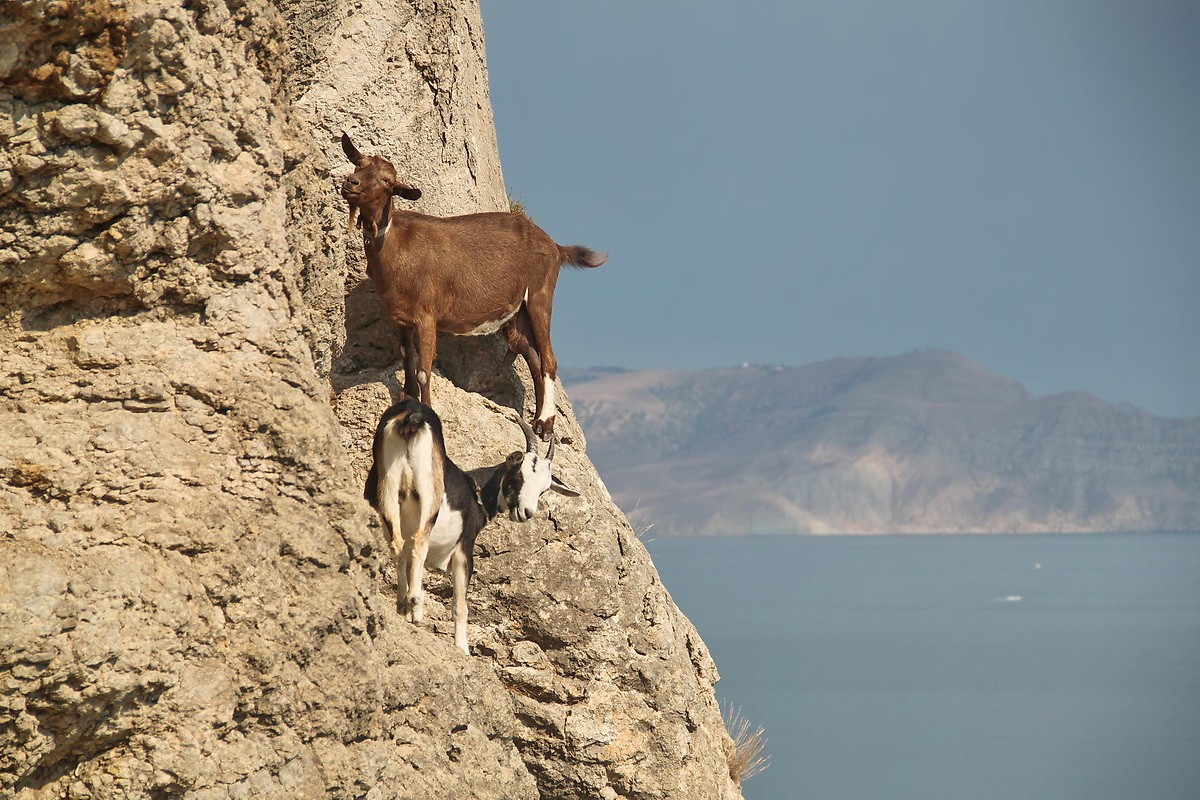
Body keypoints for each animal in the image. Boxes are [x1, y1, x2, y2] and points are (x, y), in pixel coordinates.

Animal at [340, 132, 606, 440]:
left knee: (549, 358)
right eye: (358, 164)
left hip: (540, 293)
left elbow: (423, 369)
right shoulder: (401, 318)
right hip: (516, 314)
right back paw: (539, 420)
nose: (351, 183)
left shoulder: (426, 315)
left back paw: (545, 422)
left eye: (387, 181)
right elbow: (407, 362)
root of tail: (555, 246)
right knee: (533, 356)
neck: (397, 245)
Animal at [364, 395, 578, 654]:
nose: (526, 512)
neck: (473, 490)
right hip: (429, 496)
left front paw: (402, 611)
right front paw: (463, 649)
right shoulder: (463, 550)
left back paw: (405, 604)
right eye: (519, 474)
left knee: (398, 544)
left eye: (544, 489)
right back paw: (416, 605)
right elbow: (460, 606)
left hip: (387, 489)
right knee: (417, 543)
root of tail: (410, 416)